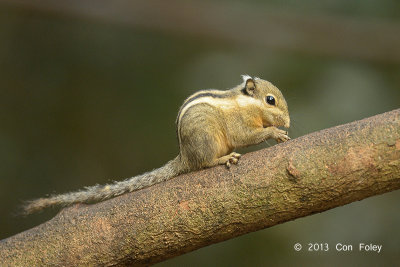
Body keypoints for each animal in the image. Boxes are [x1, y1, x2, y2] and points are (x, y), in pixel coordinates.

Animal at [22, 75, 290, 216]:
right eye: (270, 100)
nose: (288, 122)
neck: (246, 104)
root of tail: (184, 156)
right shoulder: (239, 125)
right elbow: (246, 136)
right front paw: (275, 131)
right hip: (206, 140)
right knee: (203, 163)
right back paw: (222, 159)